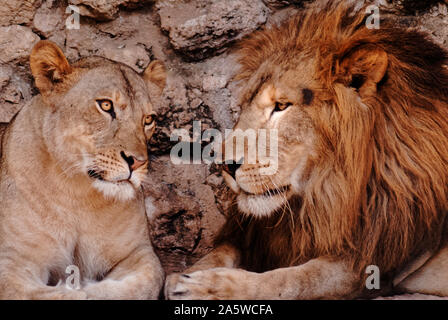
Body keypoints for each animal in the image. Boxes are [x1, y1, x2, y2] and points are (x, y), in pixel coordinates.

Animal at [0, 40, 167, 300]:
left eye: (148, 119)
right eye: (106, 105)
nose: (138, 163)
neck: (78, 192)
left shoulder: (139, 252)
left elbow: (145, 281)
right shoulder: (13, 260)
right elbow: (36, 294)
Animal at [165, 1, 448, 300]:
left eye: (281, 106)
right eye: (243, 107)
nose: (225, 166)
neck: (327, 191)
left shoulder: (368, 263)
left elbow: (289, 280)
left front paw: (205, 286)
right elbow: (220, 252)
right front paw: (184, 275)